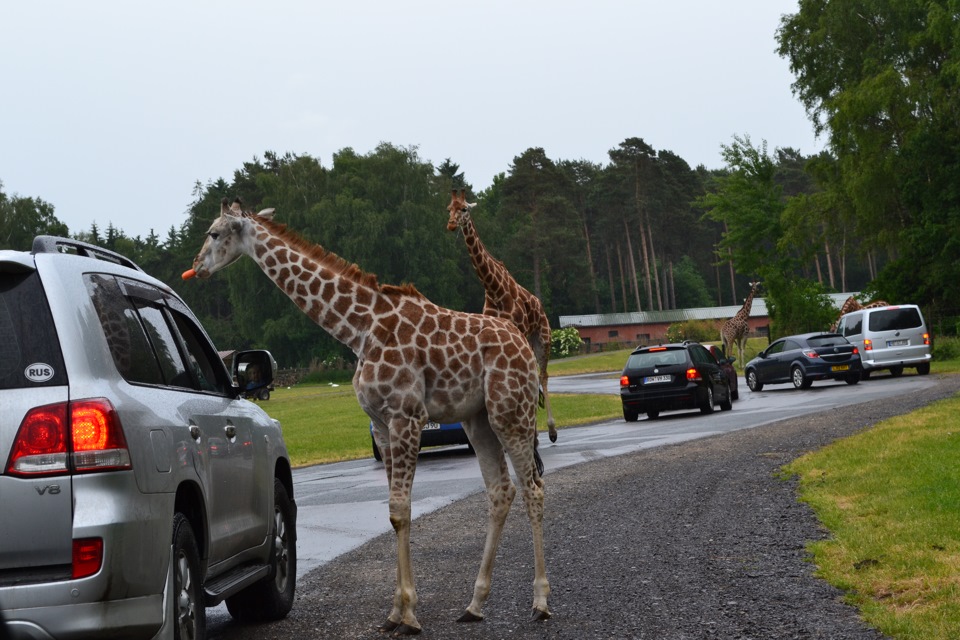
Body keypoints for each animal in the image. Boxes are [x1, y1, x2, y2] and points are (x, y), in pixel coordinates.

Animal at [183, 200, 552, 636]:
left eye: (215, 233)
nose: (197, 267)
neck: (358, 329)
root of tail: (521, 340)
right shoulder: (381, 423)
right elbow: (393, 513)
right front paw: (395, 612)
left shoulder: (406, 415)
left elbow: (401, 509)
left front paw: (410, 615)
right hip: (477, 418)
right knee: (501, 491)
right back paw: (475, 605)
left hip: (510, 410)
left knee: (533, 488)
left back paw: (541, 603)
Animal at [450, 189, 564, 440]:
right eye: (448, 209)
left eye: (464, 209)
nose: (451, 224)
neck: (495, 290)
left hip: (543, 337)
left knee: (542, 375)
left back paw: (551, 430)